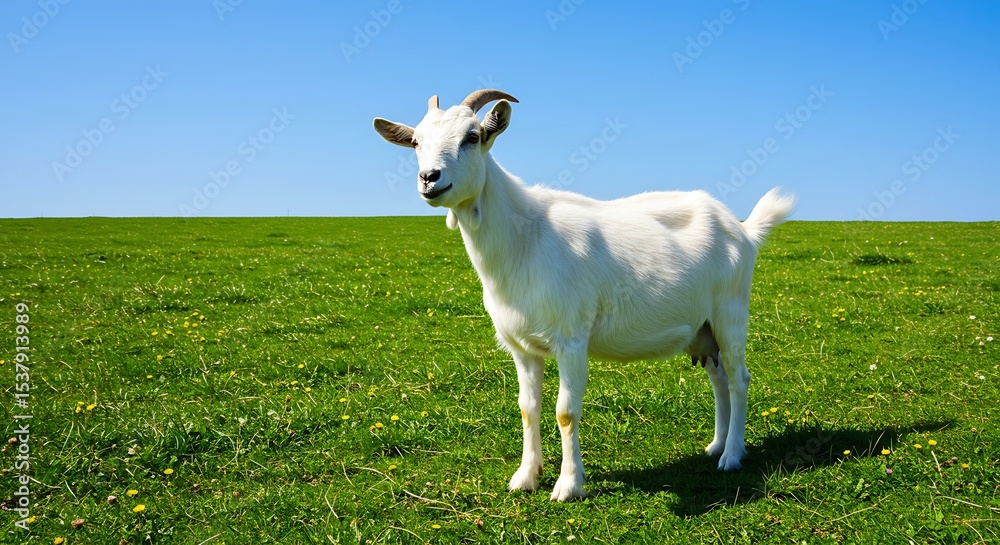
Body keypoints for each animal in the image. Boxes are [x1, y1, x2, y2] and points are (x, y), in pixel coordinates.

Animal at [373, 90, 795, 501]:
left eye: (472, 137)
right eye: (416, 142)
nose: (430, 178)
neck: (524, 241)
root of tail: (744, 230)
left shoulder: (571, 339)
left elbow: (565, 412)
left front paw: (568, 485)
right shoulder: (522, 347)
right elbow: (527, 408)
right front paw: (526, 476)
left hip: (730, 312)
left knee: (740, 379)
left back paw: (732, 456)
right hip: (702, 329)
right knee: (719, 380)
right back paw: (716, 446)